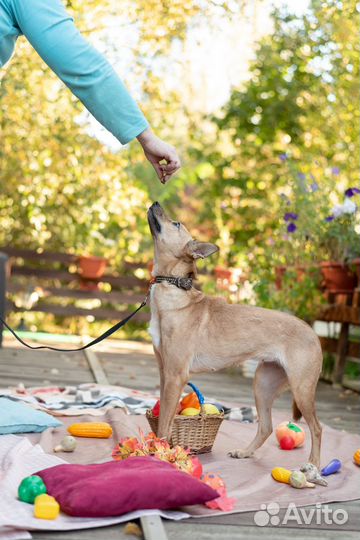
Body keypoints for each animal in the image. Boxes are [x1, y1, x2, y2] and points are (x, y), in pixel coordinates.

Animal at [148, 200, 322, 466]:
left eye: (176, 223)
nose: (156, 203)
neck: (172, 286)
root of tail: (313, 333)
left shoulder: (175, 375)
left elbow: (166, 421)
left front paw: (161, 453)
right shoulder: (163, 372)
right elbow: (163, 420)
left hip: (301, 389)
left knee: (317, 428)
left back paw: (313, 466)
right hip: (263, 384)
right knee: (266, 426)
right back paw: (245, 452)